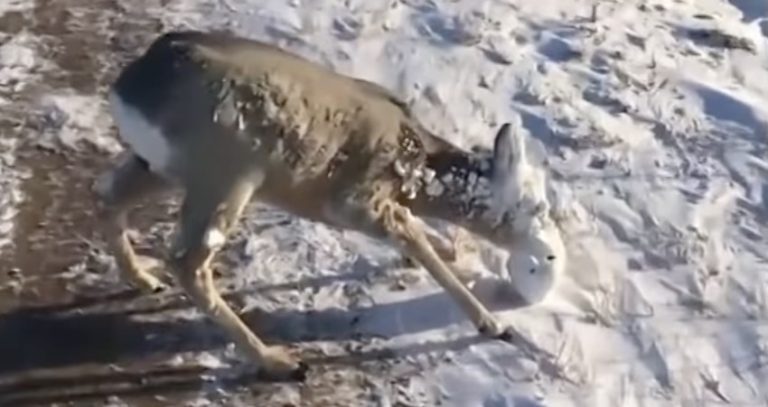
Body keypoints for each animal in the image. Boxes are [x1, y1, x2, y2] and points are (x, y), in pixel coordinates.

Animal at [94, 30, 566, 381]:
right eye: (535, 204)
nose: (550, 254)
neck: (416, 168)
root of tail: (131, 86)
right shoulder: (360, 202)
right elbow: (417, 240)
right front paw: (494, 325)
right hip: (226, 173)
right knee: (188, 261)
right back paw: (279, 362)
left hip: (163, 168)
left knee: (108, 195)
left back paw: (143, 279)